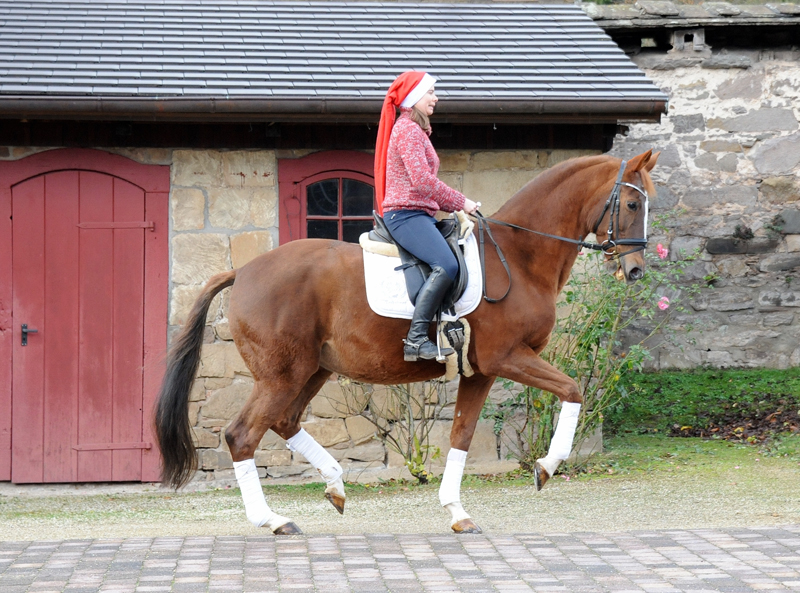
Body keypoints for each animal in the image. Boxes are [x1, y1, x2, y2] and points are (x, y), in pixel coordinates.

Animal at [155, 150, 656, 536]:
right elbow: (573, 390)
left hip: (312, 370)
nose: (635, 270)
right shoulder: (508, 357)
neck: (518, 256)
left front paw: (457, 513)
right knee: (242, 435)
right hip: (282, 374)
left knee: (283, 421)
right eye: (633, 203)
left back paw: (335, 484)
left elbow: (461, 435)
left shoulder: (482, 370)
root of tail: (244, 270)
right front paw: (546, 466)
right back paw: (274, 520)